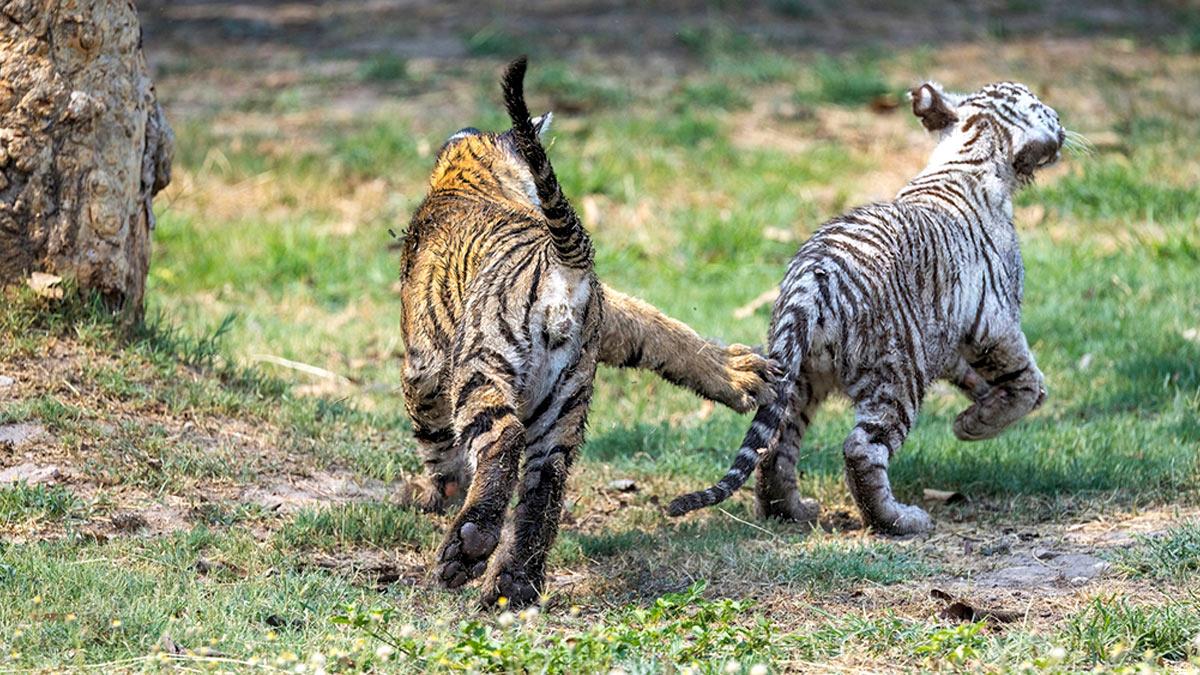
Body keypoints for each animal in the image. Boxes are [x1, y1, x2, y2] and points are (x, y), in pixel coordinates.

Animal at [399, 57, 779, 607]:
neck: (470, 176)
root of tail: (564, 262)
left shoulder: (423, 363)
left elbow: (430, 432)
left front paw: (435, 494)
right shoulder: (608, 312)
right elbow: (654, 326)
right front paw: (741, 373)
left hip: (484, 363)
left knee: (502, 438)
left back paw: (467, 547)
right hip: (567, 396)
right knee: (546, 480)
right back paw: (512, 584)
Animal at [668, 81, 1065, 535]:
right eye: (1042, 108)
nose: (1063, 125)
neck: (966, 157)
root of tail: (814, 277)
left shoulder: (946, 335)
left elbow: (972, 373)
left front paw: (979, 405)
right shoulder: (995, 322)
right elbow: (1025, 377)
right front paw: (977, 423)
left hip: (797, 375)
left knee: (777, 441)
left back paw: (791, 511)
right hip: (897, 376)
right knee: (862, 448)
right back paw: (900, 520)